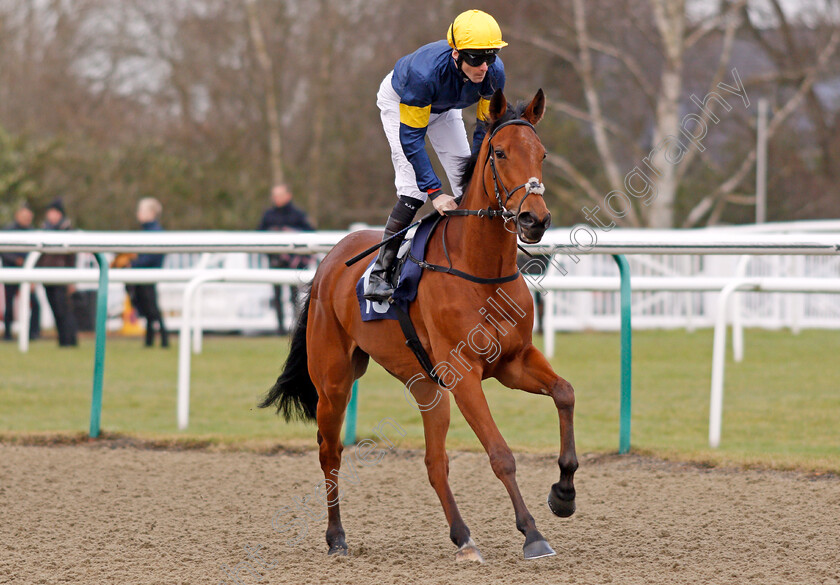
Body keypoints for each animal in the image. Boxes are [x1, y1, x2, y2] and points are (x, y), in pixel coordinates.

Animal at [262, 88, 576, 560]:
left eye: (541, 154)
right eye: (501, 153)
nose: (534, 220)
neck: (480, 269)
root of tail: (329, 260)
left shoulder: (514, 361)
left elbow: (564, 393)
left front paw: (563, 493)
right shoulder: (464, 374)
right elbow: (500, 453)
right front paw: (533, 534)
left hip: (425, 385)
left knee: (434, 462)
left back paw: (463, 537)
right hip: (333, 381)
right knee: (329, 452)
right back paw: (336, 537)